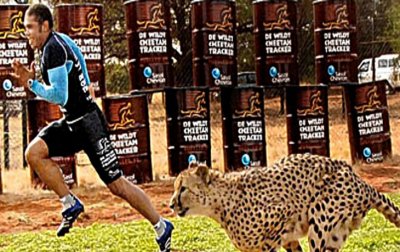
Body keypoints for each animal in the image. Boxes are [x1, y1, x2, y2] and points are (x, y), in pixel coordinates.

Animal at [169, 153, 400, 251]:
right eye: (175, 187)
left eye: (183, 188)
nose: (171, 205)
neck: (221, 204)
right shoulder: (288, 239)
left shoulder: (282, 217)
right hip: (335, 235)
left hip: (320, 218)